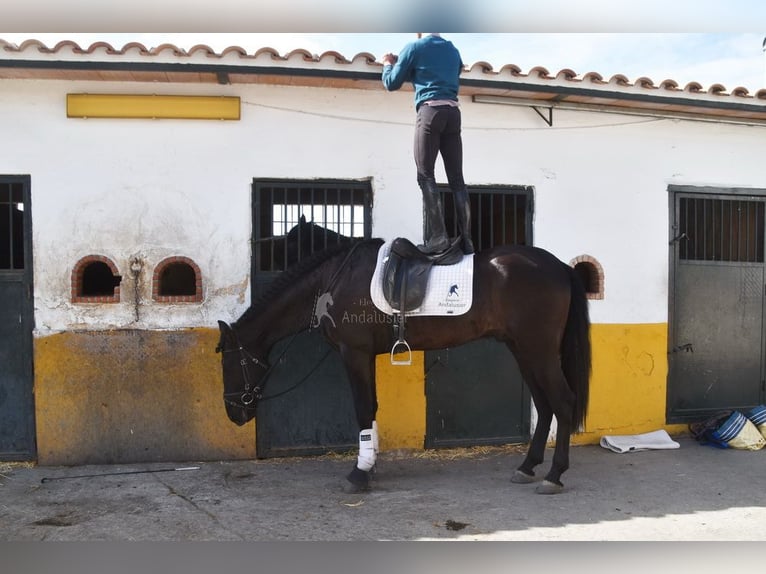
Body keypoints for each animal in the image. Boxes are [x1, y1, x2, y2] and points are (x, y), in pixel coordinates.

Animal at [216, 238, 591, 495]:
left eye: (228, 360)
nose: (234, 414)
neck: (332, 281)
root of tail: (560, 266)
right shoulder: (365, 355)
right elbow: (372, 407)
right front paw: (370, 464)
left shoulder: (353, 352)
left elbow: (362, 408)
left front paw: (359, 474)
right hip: (523, 350)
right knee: (545, 405)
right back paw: (527, 467)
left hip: (539, 350)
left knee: (563, 402)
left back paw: (554, 475)